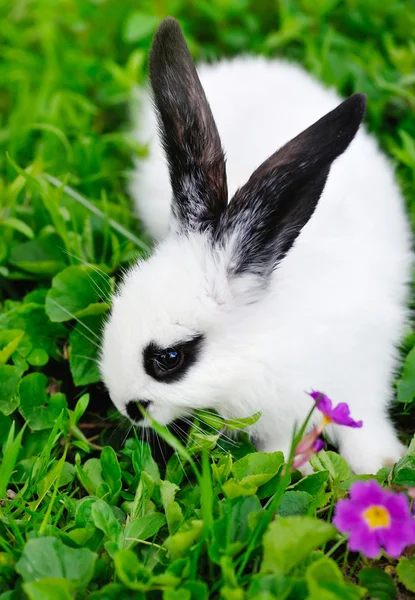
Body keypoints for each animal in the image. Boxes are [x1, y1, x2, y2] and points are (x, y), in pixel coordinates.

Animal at [98, 16, 412, 474]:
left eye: (169, 359)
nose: (123, 404)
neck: (263, 342)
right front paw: (293, 467)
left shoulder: (364, 375)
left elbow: (366, 428)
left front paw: (383, 465)